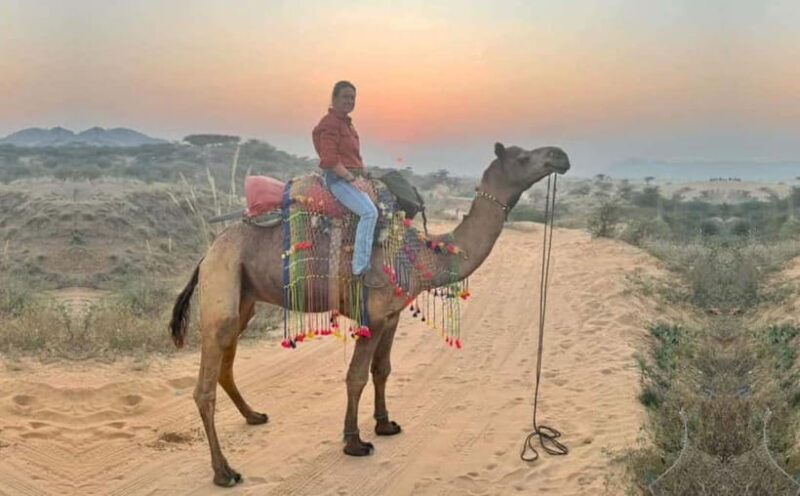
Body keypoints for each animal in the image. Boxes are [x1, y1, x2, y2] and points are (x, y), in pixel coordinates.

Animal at [169, 142, 570, 487]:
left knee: (225, 362)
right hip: (222, 283)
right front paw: (354, 442)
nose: (560, 156)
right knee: (204, 386)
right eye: (521, 156)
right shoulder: (373, 317)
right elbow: (356, 377)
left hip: (245, 299)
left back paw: (254, 416)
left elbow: (382, 370)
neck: (422, 256)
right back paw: (224, 472)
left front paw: (385, 424)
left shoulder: (391, 316)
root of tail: (207, 253)